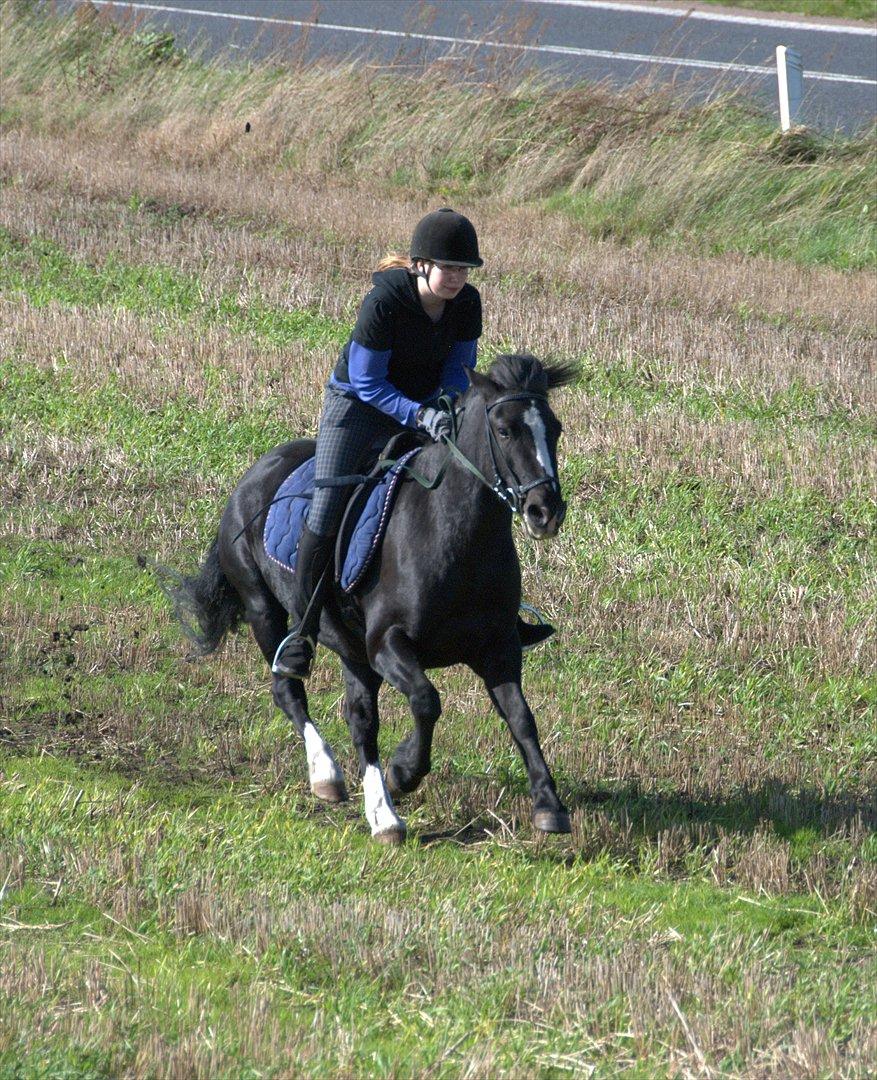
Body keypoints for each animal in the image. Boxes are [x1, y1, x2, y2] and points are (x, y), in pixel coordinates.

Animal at [163, 354, 574, 842]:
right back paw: (330, 776)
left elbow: (522, 718)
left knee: (360, 720)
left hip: (351, 649)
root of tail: (252, 475)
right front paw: (405, 771)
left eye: (555, 428)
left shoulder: (498, 648)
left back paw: (382, 815)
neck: (457, 537)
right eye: (506, 430)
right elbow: (426, 701)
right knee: (289, 690)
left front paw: (549, 805)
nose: (545, 511)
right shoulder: (387, 644)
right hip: (266, 611)